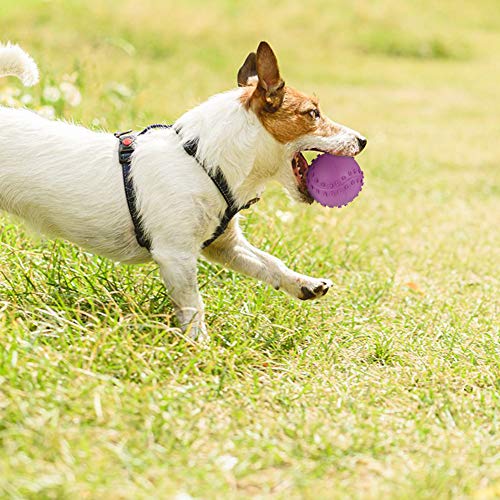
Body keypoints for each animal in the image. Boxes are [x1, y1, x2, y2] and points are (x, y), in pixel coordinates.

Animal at [0, 40, 368, 340]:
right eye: (313, 113)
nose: (363, 140)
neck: (204, 163)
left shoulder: (225, 246)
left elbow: (270, 264)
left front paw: (303, 283)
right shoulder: (176, 256)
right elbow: (193, 306)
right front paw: (200, 347)